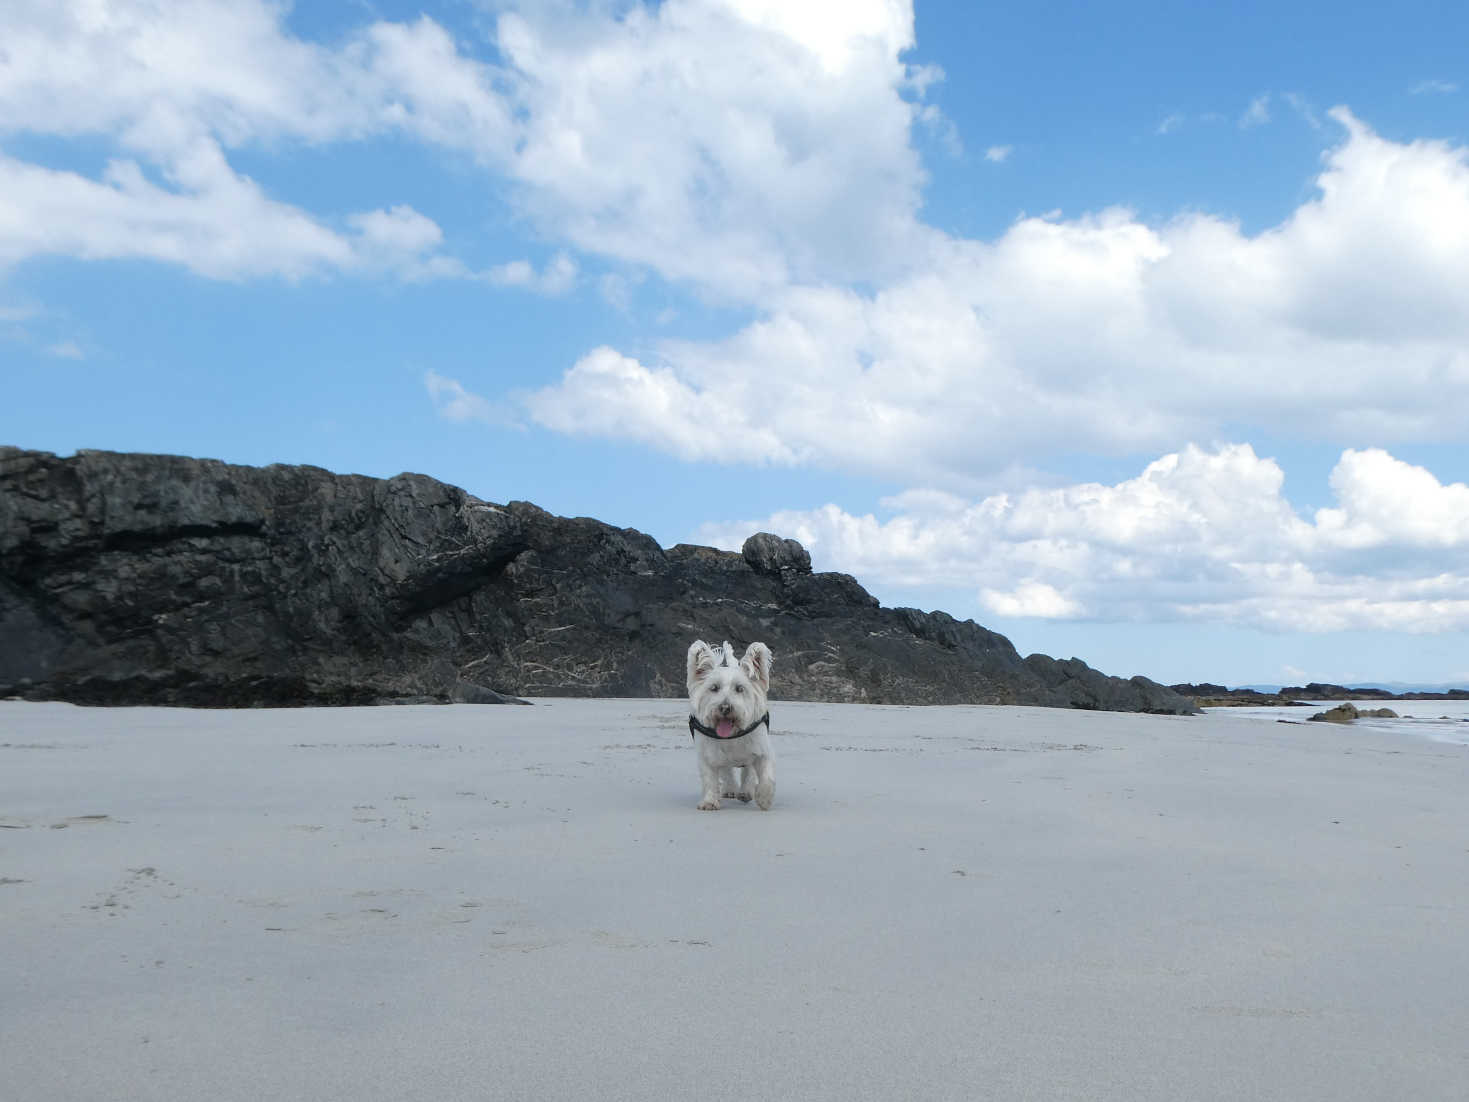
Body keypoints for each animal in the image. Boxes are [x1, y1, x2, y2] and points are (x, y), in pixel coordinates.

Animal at [687, 637, 775, 811]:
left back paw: (745, 792)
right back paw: (731, 790)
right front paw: (709, 801)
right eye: (714, 688)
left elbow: (766, 776)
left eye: (740, 689)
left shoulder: (762, 750)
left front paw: (764, 798)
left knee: (748, 770)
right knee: (726, 771)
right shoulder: (708, 754)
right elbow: (709, 778)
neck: (732, 736)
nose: (725, 708)